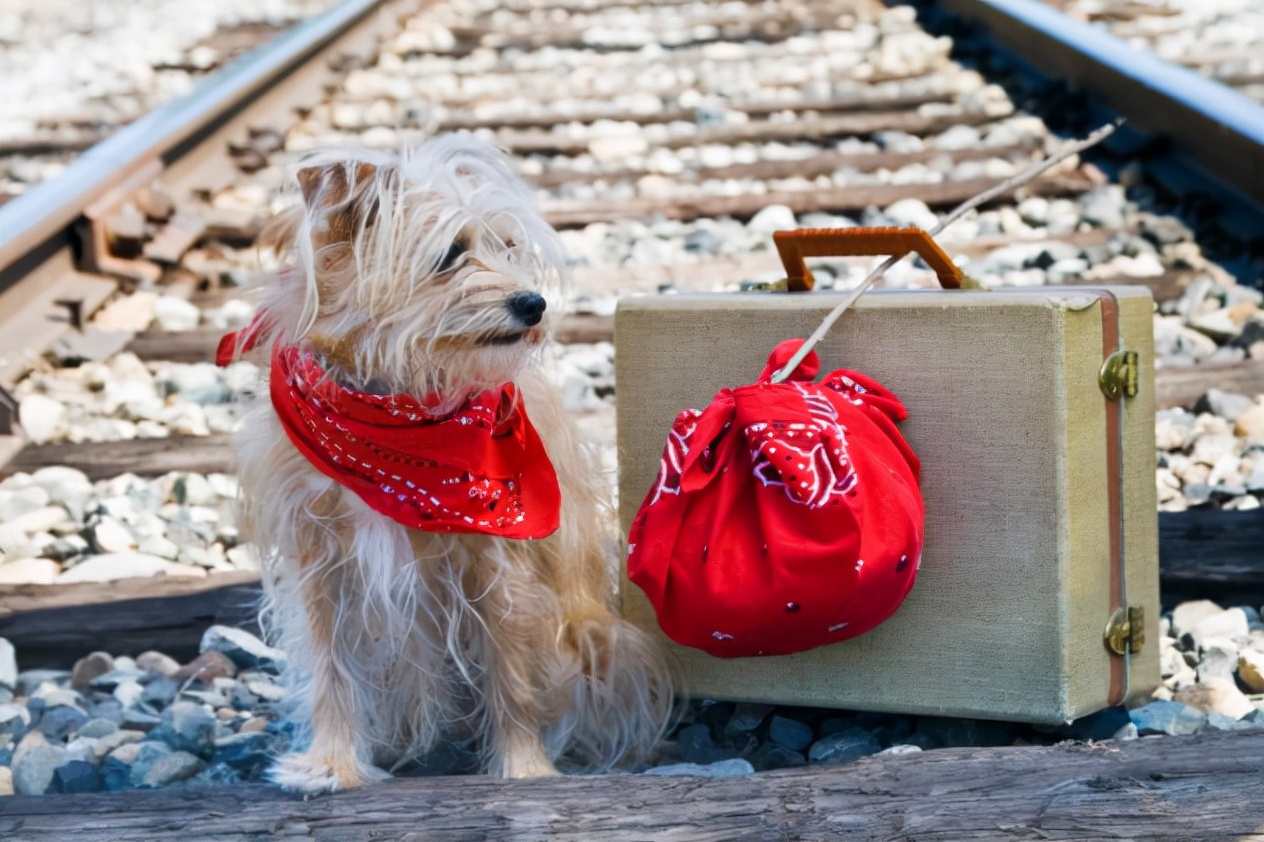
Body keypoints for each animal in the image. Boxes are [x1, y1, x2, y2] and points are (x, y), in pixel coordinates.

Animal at [230, 134, 682, 788]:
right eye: (449, 254)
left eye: (508, 246)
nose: (533, 303)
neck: (397, 415)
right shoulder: (319, 553)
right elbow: (329, 666)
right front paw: (332, 763)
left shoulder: (496, 558)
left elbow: (511, 670)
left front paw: (525, 768)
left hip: (599, 639)